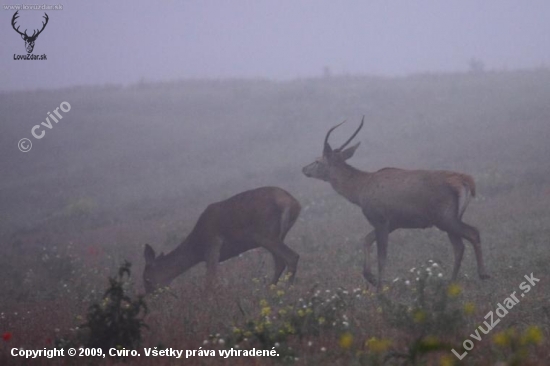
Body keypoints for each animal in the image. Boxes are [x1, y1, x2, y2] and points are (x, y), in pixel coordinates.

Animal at [142, 187, 302, 294]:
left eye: (146, 279)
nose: (150, 294)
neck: (197, 247)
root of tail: (294, 203)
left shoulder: (213, 244)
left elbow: (210, 279)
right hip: (276, 235)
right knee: (280, 261)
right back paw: (270, 288)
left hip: (265, 234)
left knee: (292, 256)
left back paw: (287, 290)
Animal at [306, 117, 492, 288]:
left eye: (317, 160)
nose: (304, 169)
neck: (359, 192)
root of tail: (466, 181)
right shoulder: (392, 223)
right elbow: (366, 239)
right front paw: (370, 277)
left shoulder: (380, 219)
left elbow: (382, 256)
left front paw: (380, 287)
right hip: (450, 218)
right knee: (459, 246)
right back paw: (451, 282)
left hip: (445, 217)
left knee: (473, 233)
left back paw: (483, 274)